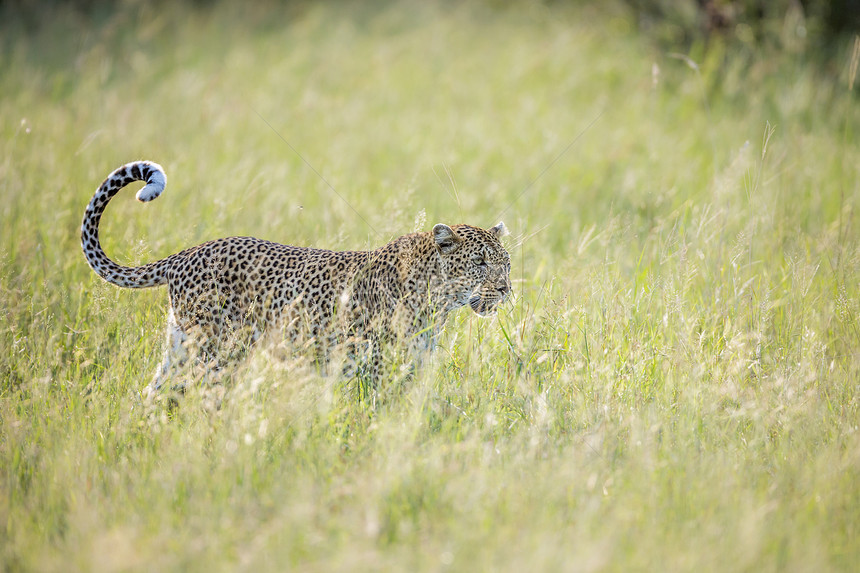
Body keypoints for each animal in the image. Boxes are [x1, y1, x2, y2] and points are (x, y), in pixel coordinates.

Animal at [80, 161, 510, 394]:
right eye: (480, 263)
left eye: (505, 263)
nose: (506, 289)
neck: (436, 300)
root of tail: (184, 254)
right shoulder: (376, 367)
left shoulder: (411, 368)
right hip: (217, 353)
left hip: (182, 347)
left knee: (154, 395)